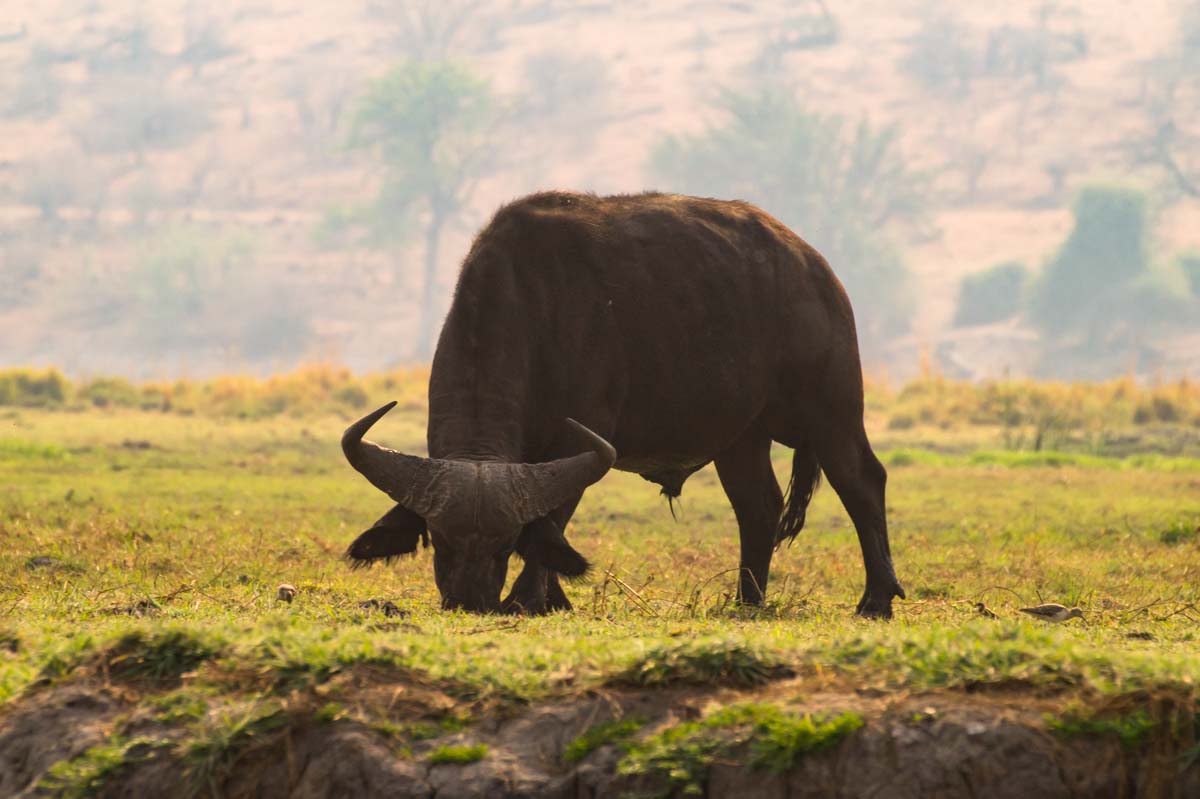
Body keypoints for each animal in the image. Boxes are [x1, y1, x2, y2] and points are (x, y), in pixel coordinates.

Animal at [343, 191, 902, 614]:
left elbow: (557, 515)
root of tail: (813, 266)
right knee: (758, 506)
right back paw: (747, 600)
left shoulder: (580, 438)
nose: (469, 602)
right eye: (437, 538)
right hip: (742, 436)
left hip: (833, 411)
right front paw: (554, 599)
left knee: (862, 481)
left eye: (506, 543)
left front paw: (527, 599)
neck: (533, 307)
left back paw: (876, 599)